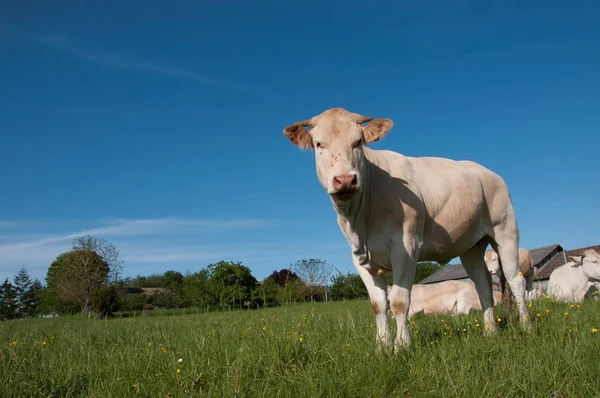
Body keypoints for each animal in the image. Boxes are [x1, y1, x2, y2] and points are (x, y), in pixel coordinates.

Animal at [284, 108, 532, 348]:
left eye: (358, 142)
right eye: (319, 144)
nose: (345, 179)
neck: (362, 219)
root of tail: (487, 172)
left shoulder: (405, 248)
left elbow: (399, 301)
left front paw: (401, 346)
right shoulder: (359, 258)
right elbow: (378, 304)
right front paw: (382, 347)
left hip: (506, 230)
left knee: (515, 280)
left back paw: (526, 326)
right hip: (471, 246)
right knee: (483, 284)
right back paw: (490, 332)